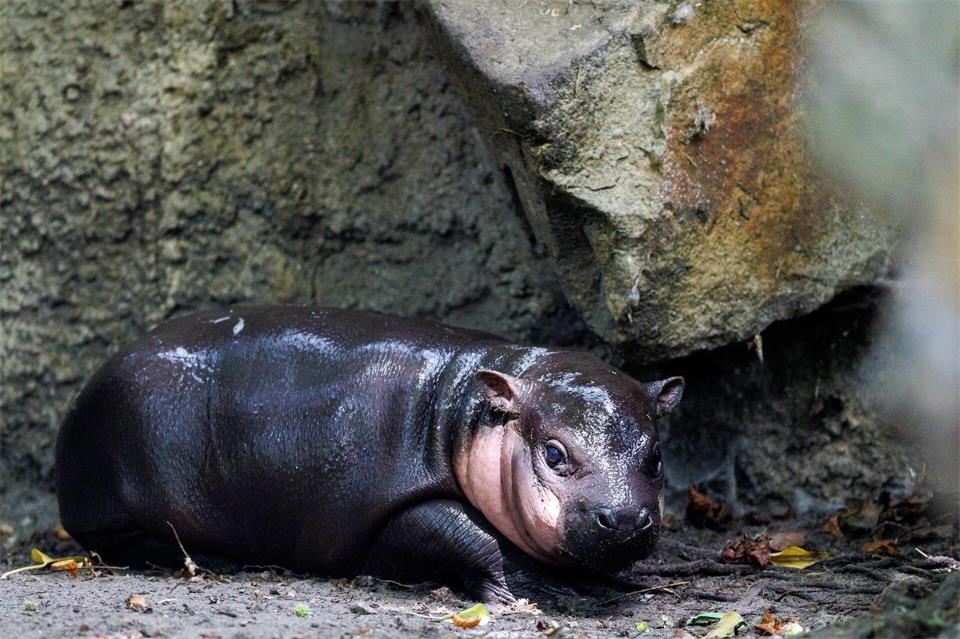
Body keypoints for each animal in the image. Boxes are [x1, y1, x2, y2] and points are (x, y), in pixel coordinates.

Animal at [56, 306, 683, 601]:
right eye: (554, 453)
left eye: (656, 457)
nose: (625, 517)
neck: (466, 411)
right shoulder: (388, 503)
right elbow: (463, 532)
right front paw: (545, 589)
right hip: (118, 499)